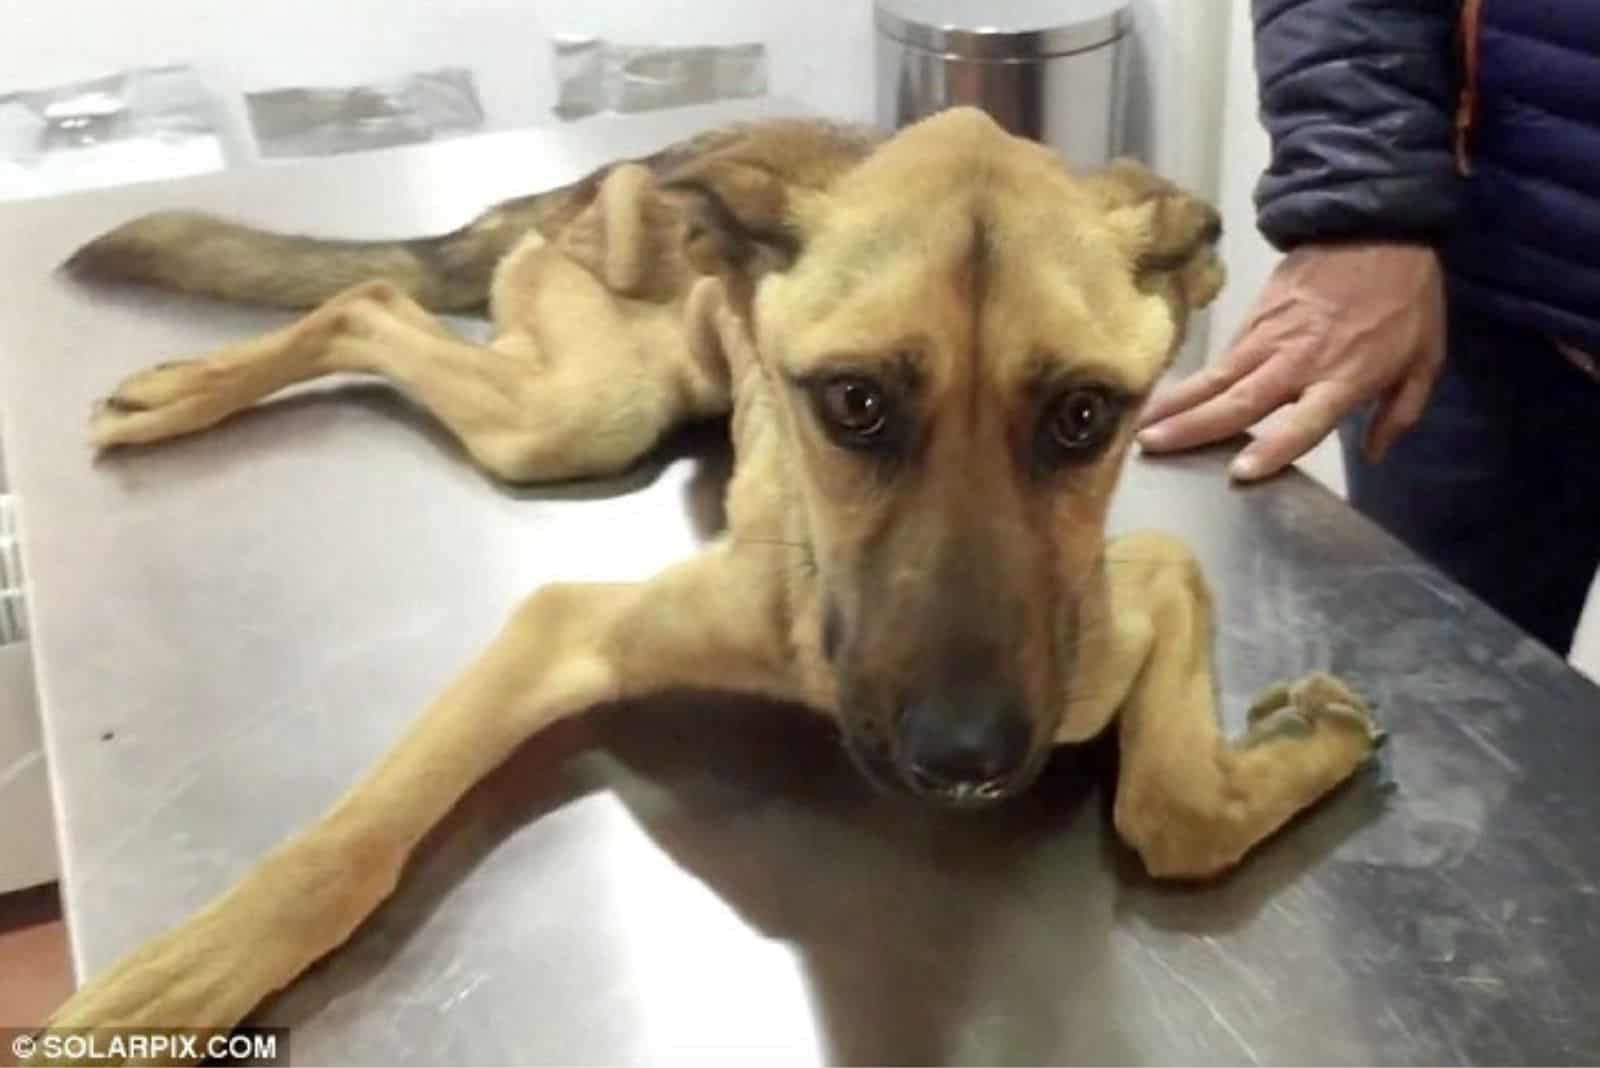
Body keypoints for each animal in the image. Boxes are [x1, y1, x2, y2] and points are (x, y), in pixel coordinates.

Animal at [31, 106, 1382, 1048]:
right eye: (853, 403)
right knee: (368, 298)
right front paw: (197, 966)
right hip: (582, 408)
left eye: (1085, 417)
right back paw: (188, 392)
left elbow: (1179, 811)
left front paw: (1303, 744)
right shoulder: (564, 624)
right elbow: (342, 849)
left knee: (372, 298)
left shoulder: (1126, 599)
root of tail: (662, 157)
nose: (964, 759)